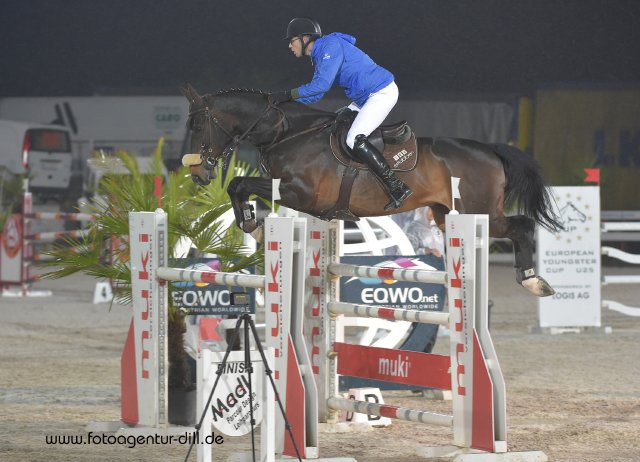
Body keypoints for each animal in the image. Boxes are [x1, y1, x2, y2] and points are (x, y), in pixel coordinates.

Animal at [179, 84, 560, 296]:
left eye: (197, 124)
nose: (198, 172)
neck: (284, 132)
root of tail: (491, 150)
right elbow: (237, 187)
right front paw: (250, 223)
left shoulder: (301, 194)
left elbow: (238, 182)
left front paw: (253, 225)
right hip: (446, 214)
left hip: (480, 213)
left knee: (522, 226)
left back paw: (533, 281)